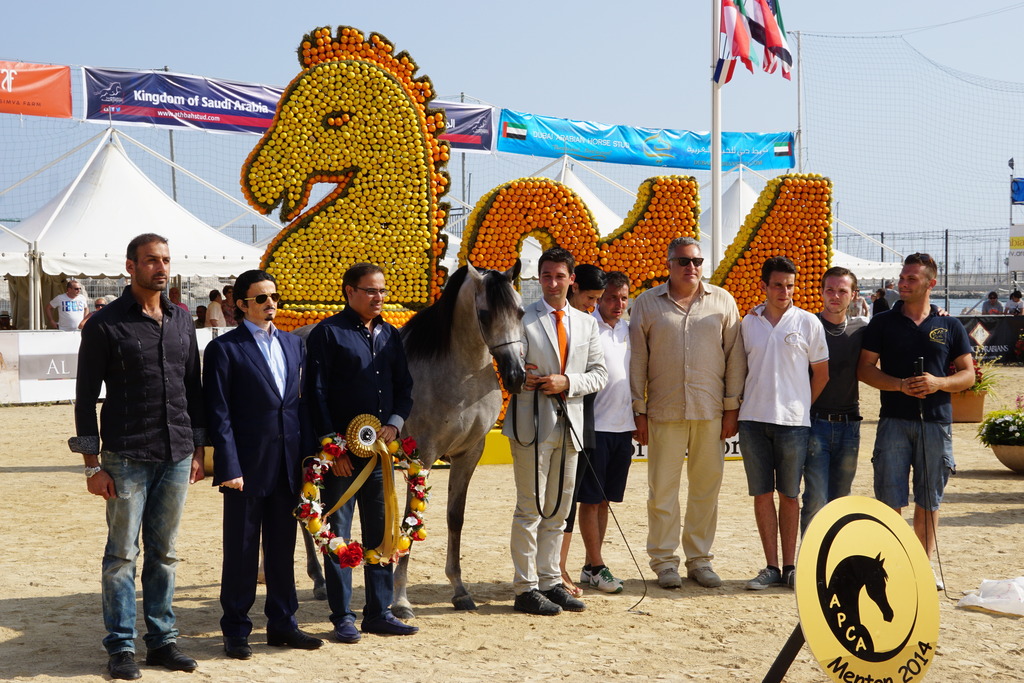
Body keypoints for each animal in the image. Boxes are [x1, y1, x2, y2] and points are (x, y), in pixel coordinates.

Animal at [391, 261, 525, 617]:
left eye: (520, 312)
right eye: (485, 314)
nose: (516, 376)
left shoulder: (469, 454)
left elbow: (456, 517)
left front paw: (460, 590)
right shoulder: (422, 457)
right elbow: (411, 521)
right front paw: (400, 600)